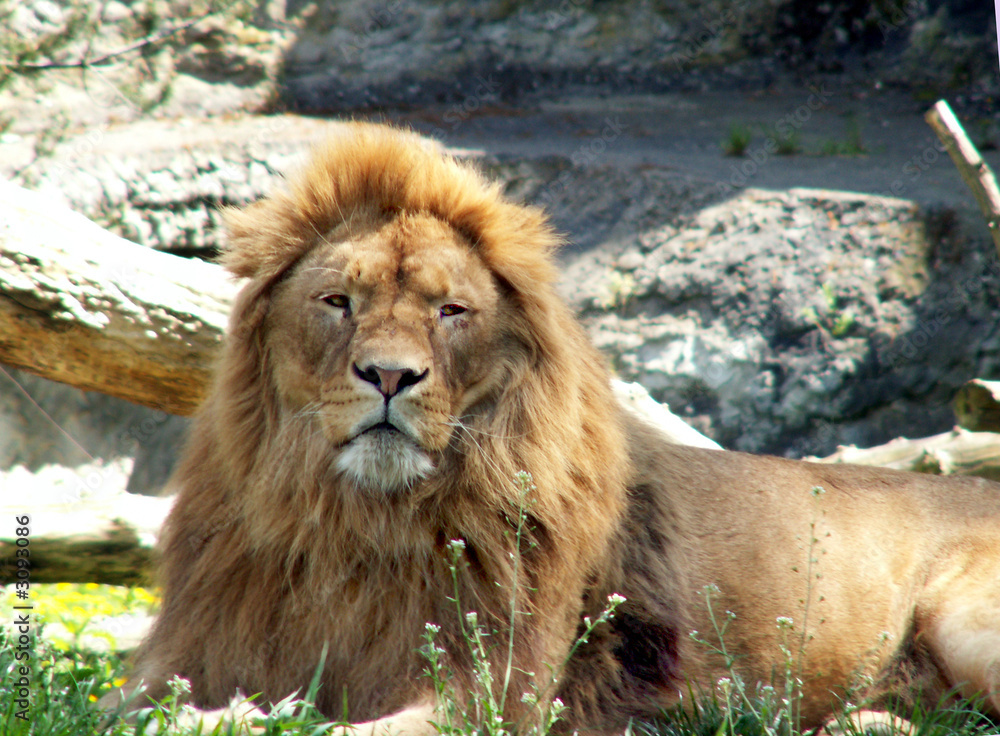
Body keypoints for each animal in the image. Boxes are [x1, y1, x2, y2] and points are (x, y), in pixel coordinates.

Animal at [108, 123, 1000, 735]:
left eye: (449, 311)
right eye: (339, 302)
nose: (390, 376)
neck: (354, 523)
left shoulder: (493, 690)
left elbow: (338, 730)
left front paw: (255, 717)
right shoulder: (182, 650)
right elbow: (134, 706)